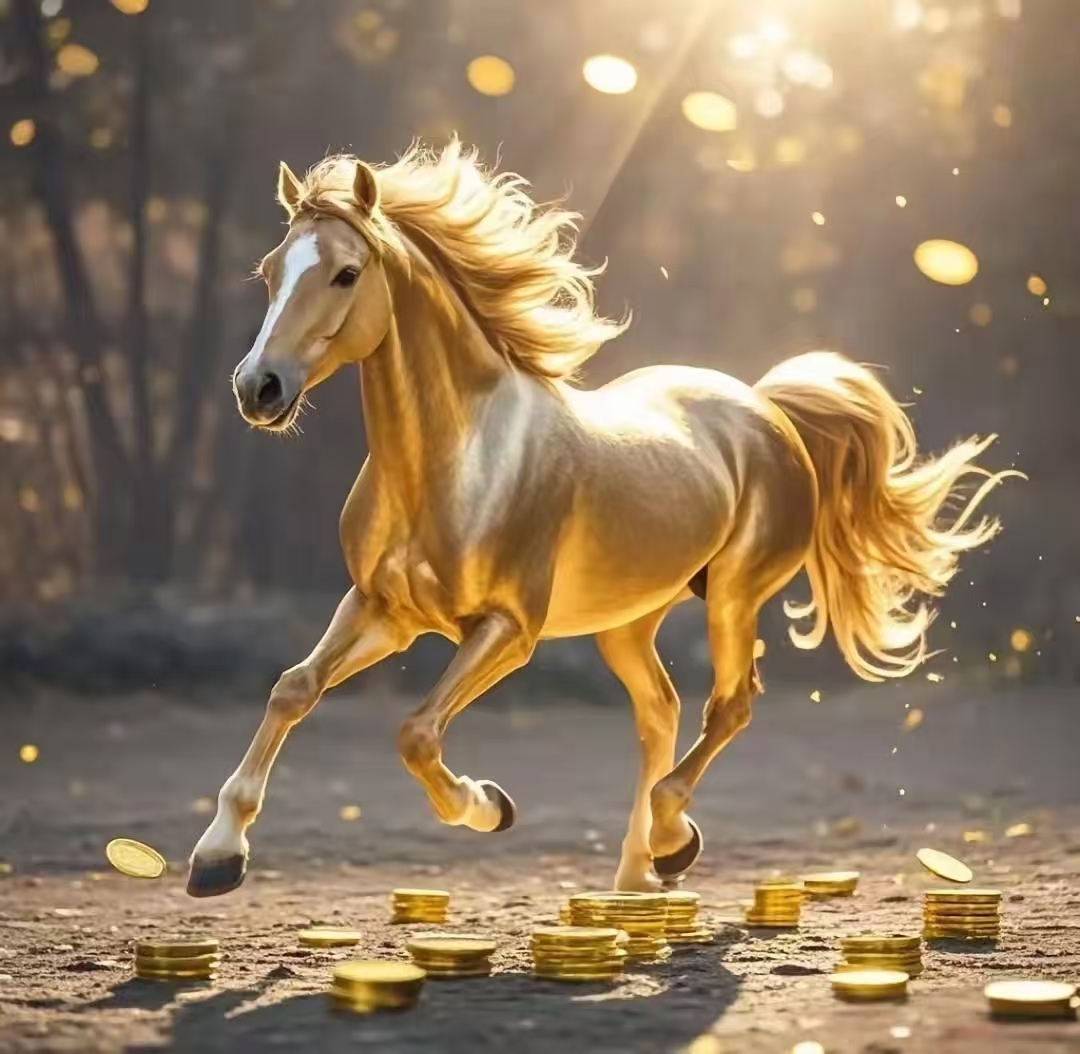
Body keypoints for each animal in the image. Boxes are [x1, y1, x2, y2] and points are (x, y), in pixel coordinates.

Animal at [186, 139, 1014, 897]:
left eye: (346, 273)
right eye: (270, 272)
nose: (258, 388)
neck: (457, 462)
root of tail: (765, 406)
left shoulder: (508, 629)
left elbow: (416, 733)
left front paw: (489, 806)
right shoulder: (382, 609)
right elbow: (293, 688)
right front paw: (217, 857)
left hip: (735, 596)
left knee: (729, 706)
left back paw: (673, 841)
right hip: (628, 620)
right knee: (662, 711)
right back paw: (636, 873)